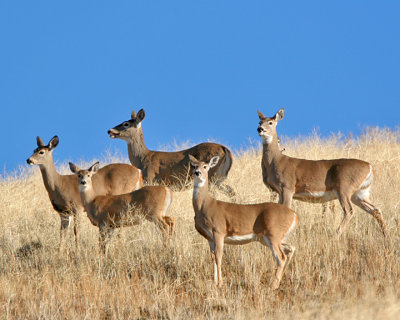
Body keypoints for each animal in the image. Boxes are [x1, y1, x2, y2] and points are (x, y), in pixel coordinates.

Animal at [188, 155, 296, 290]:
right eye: (194, 165)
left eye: (205, 166)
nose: (197, 173)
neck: (205, 205)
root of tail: (294, 215)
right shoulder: (209, 237)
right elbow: (212, 257)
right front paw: (214, 282)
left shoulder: (218, 231)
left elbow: (219, 256)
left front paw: (220, 283)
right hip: (267, 238)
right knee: (290, 248)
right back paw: (279, 280)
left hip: (273, 233)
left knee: (281, 257)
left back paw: (273, 285)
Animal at [256, 109, 388, 236]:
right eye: (259, 122)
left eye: (270, 122)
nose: (260, 129)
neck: (277, 161)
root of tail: (369, 167)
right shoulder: (278, 191)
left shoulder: (287, 186)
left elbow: (287, 209)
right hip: (360, 192)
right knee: (376, 210)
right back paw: (386, 235)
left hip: (344, 187)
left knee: (349, 210)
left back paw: (336, 234)